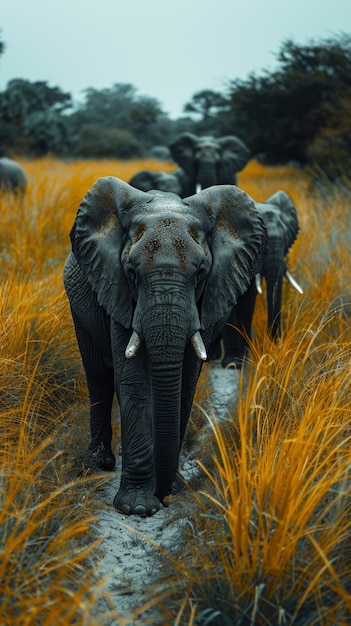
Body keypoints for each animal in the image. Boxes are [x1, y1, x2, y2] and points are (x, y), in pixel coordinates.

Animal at [64, 174, 266, 512]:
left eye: (201, 273)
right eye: (132, 272)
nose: (164, 494)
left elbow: (186, 380)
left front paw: (171, 488)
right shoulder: (119, 290)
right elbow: (133, 382)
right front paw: (136, 507)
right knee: (99, 377)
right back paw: (100, 462)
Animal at [217, 189, 302, 366]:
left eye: (286, 238)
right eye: (261, 243)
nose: (277, 347)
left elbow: (249, 298)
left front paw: (245, 356)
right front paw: (233, 364)